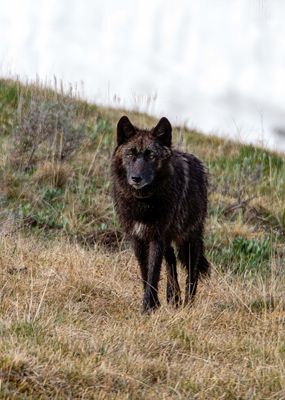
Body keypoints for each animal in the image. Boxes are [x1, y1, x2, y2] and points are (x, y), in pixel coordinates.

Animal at [111, 115, 209, 312]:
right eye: (130, 154)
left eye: (151, 155)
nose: (136, 178)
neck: (144, 203)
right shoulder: (138, 238)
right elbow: (145, 272)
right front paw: (153, 304)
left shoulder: (157, 238)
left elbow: (153, 272)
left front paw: (148, 308)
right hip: (170, 240)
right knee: (171, 261)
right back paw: (173, 297)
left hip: (189, 239)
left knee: (192, 272)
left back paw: (188, 304)